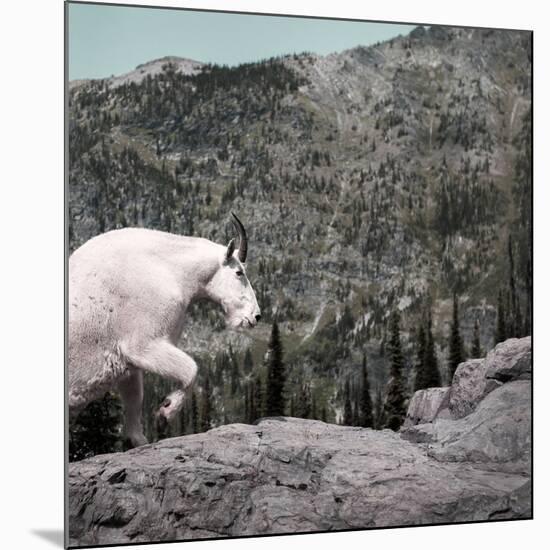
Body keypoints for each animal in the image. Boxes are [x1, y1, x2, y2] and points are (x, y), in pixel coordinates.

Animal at [68, 213, 262, 450]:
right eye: (239, 272)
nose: (255, 316)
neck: (171, 270)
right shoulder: (143, 344)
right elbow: (191, 369)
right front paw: (165, 413)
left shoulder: (128, 364)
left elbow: (135, 400)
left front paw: (138, 440)